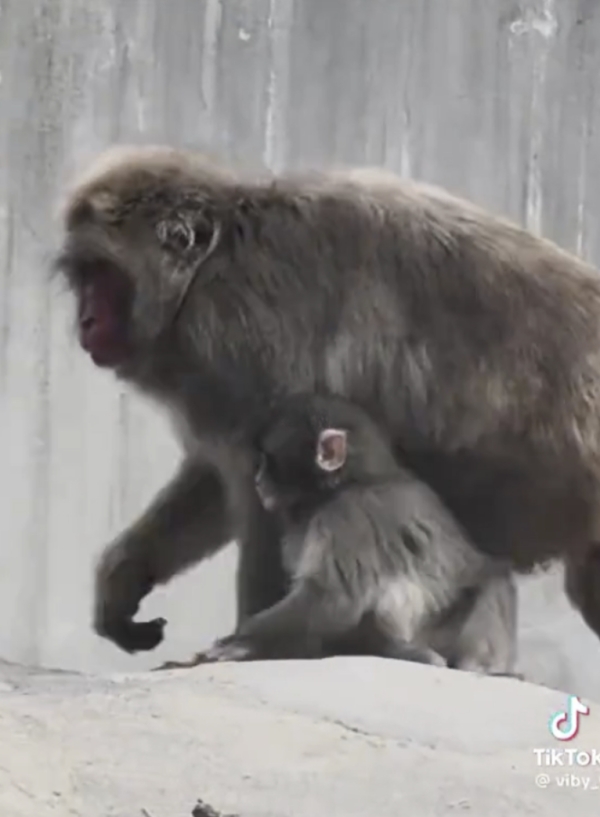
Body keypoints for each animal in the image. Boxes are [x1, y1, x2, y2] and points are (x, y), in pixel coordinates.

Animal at [160, 392, 518, 673]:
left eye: (268, 461)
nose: (258, 479)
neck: (352, 482)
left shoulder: (348, 515)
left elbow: (330, 600)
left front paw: (240, 643)